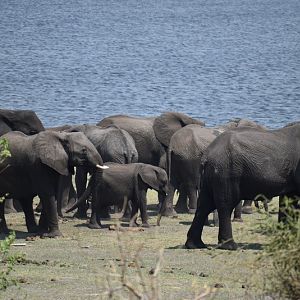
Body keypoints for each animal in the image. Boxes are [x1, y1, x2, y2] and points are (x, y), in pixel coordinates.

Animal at [185, 120, 300, 250]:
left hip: (212, 175)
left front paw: (288, 242)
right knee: (225, 205)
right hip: (226, 171)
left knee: (204, 205)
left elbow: (289, 202)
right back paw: (230, 246)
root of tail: (206, 155)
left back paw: (195, 245)